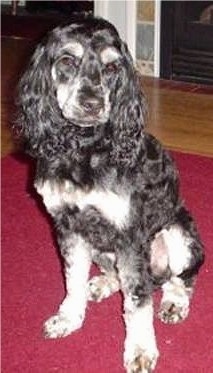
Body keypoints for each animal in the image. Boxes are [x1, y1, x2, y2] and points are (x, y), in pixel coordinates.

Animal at [17, 16, 205, 370]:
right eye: (67, 61)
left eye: (112, 67)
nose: (92, 104)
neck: (84, 149)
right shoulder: (69, 226)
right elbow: (73, 278)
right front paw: (69, 318)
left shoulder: (129, 233)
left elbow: (137, 302)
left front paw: (140, 350)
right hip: (103, 248)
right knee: (122, 275)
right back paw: (104, 283)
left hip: (178, 235)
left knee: (178, 279)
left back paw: (174, 301)